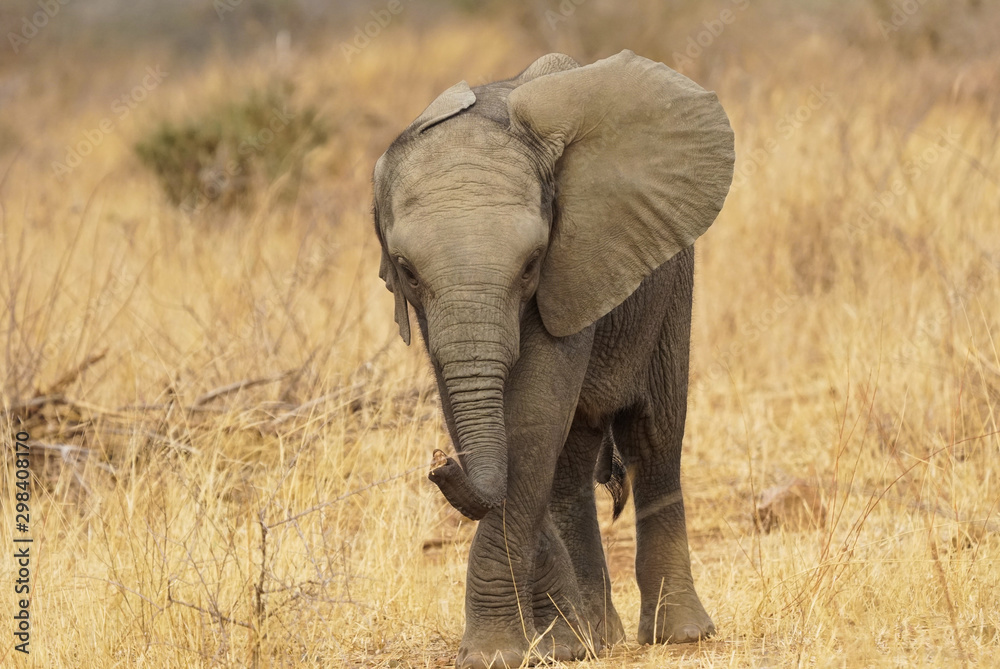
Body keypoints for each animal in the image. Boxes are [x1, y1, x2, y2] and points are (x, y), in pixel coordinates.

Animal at [372, 50, 734, 668]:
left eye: (532, 262)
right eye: (407, 270)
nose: (438, 464)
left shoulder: (574, 264)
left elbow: (535, 414)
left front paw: (496, 654)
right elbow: (515, 432)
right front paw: (561, 642)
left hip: (672, 282)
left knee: (655, 435)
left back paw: (677, 635)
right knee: (571, 460)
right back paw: (596, 637)